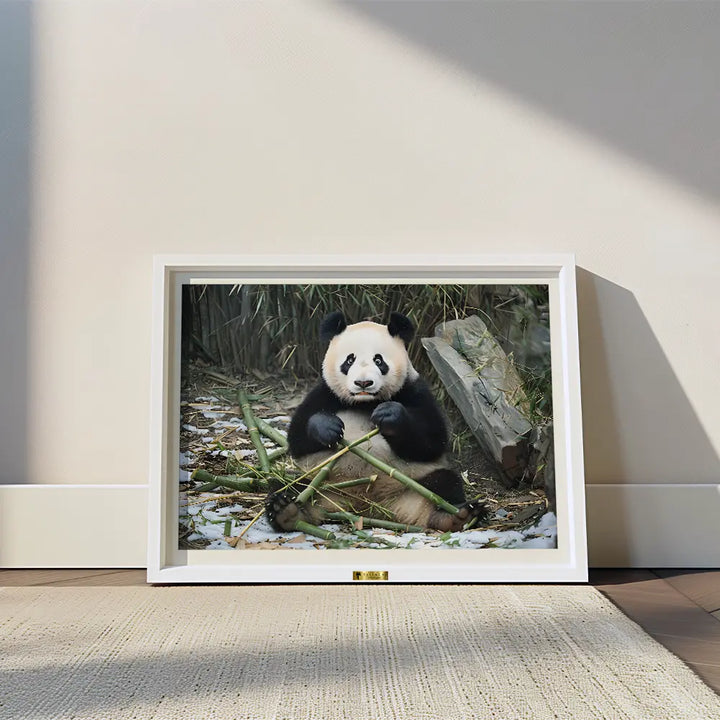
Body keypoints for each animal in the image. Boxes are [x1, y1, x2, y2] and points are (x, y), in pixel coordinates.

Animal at [265, 310, 485, 533]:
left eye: (379, 361)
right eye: (349, 360)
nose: (363, 383)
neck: (366, 403)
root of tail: (367, 506)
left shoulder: (415, 391)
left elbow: (432, 441)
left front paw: (390, 416)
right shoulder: (324, 394)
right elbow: (297, 436)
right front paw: (327, 427)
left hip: (416, 482)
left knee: (445, 484)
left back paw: (453, 516)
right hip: (319, 481)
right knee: (287, 484)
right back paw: (286, 511)